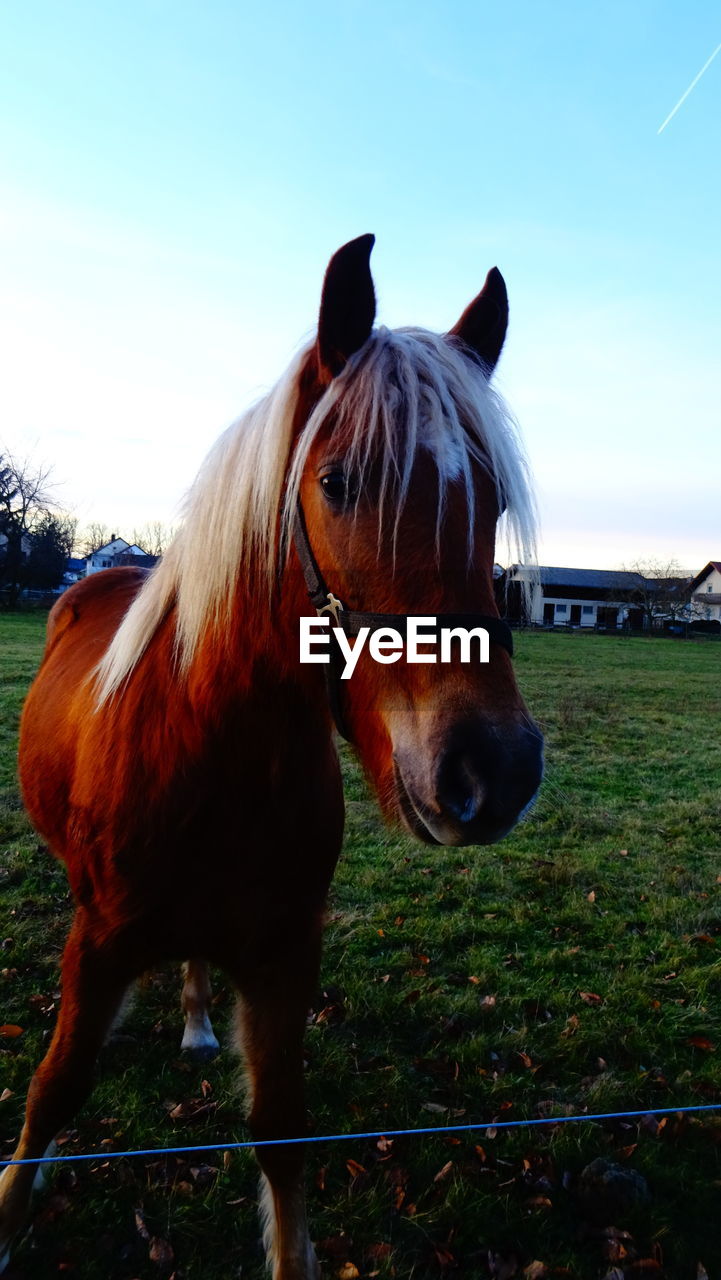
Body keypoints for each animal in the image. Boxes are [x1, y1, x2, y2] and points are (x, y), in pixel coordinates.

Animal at [0, 235, 542, 1274]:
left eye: (491, 498)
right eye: (337, 483)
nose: (492, 770)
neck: (217, 754)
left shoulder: (286, 952)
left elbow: (282, 1130)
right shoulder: (97, 943)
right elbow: (52, 1092)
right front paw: (16, 1200)